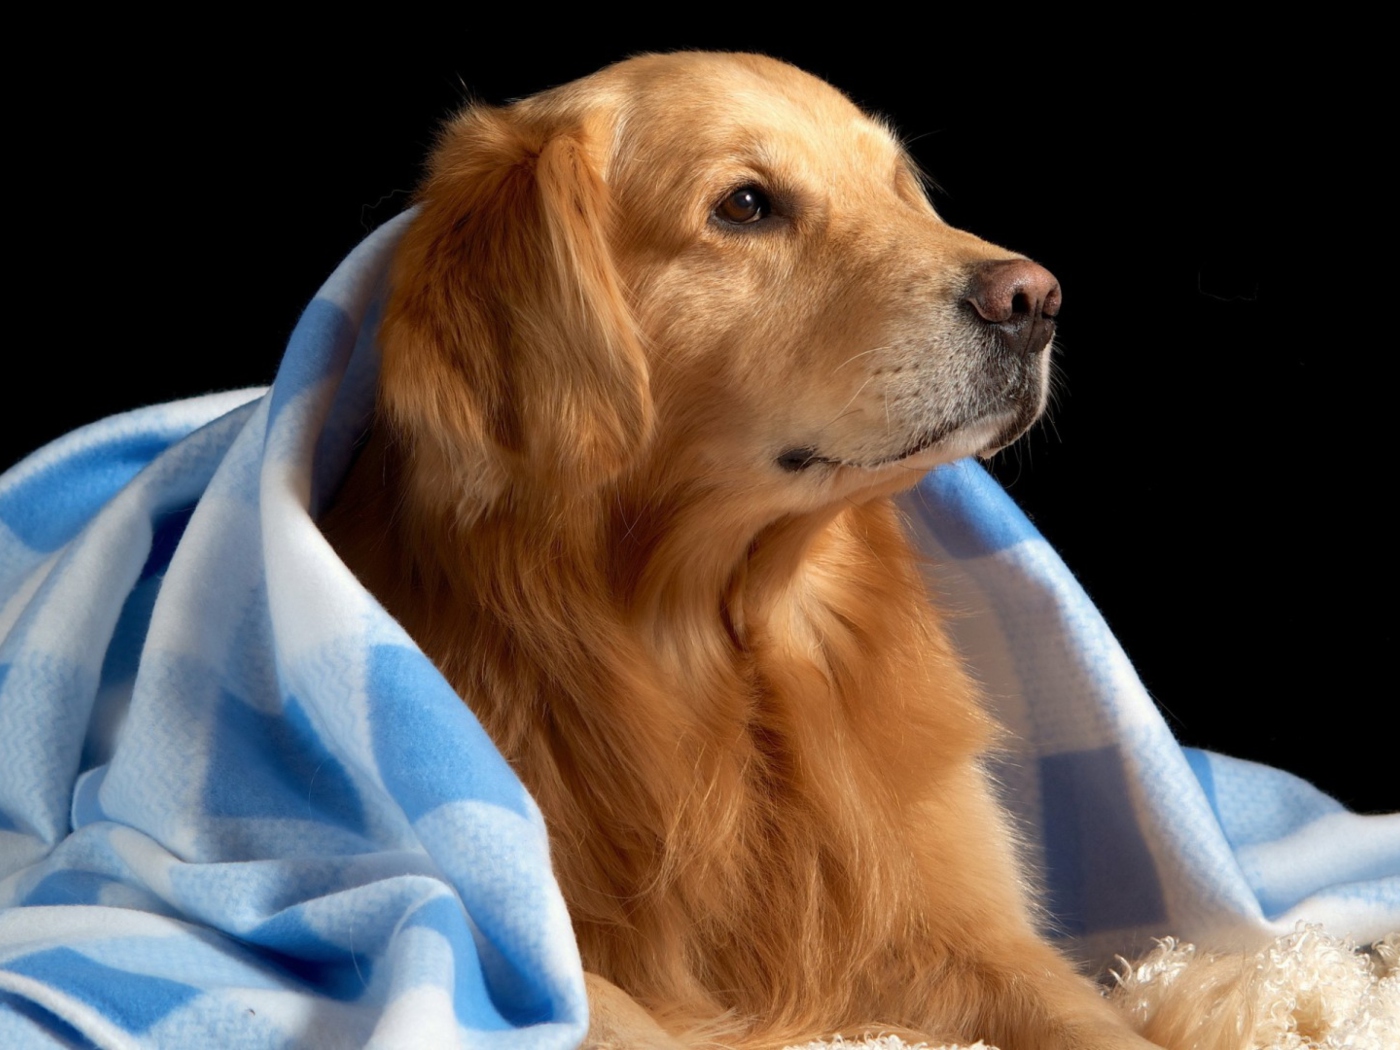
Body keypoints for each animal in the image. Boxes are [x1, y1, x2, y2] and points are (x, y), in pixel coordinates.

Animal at [320, 51, 1159, 1050]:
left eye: (898, 190)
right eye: (747, 206)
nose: (1033, 299)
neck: (719, 662)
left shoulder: (964, 928)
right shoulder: (508, 944)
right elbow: (609, 1012)